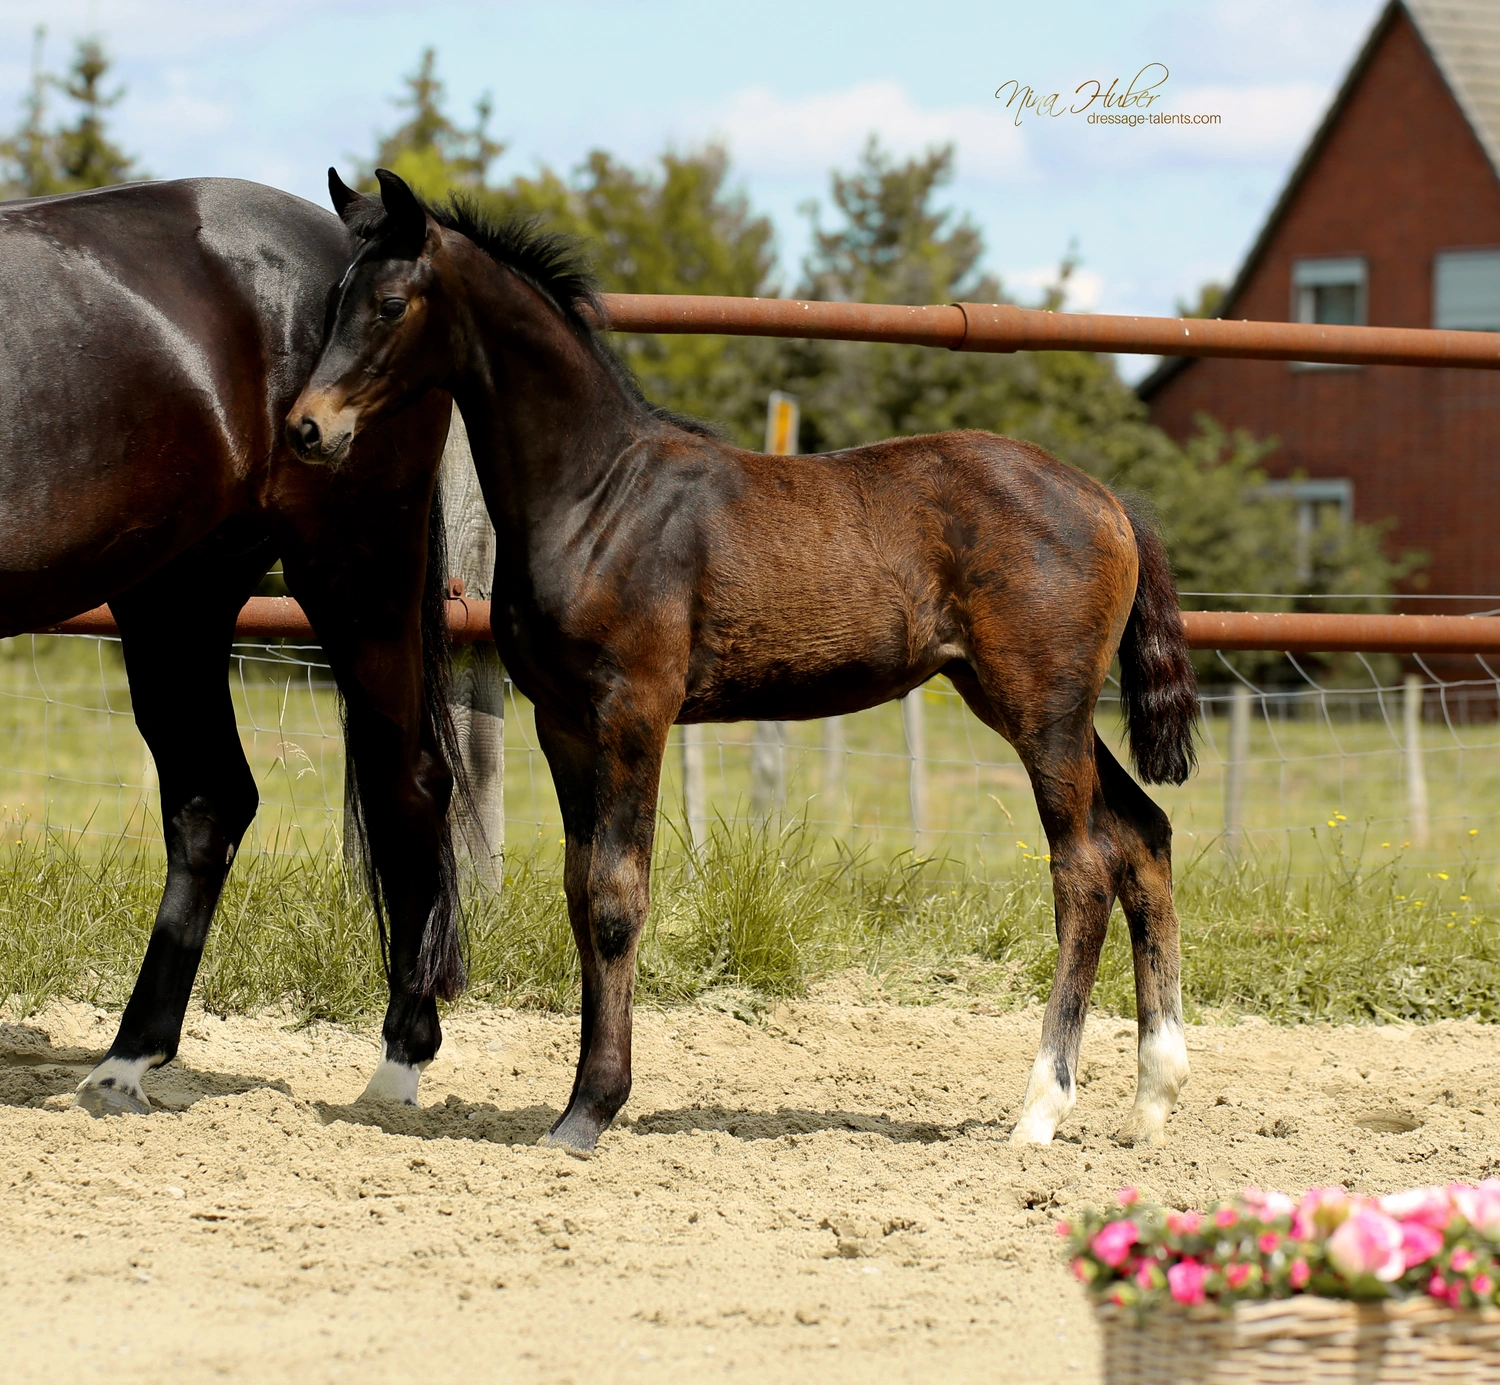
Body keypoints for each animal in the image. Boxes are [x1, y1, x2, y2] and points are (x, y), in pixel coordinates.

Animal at [0, 178, 464, 1114]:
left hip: (355, 569)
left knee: (409, 781)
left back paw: (399, 1059)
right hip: (176, 595)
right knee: (212, 799)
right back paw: (128, 1058)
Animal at [288, 168, 1201, 1154]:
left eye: (389, 303)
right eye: (333, 300)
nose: (305, 428)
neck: (597, 495)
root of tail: (1110, 500)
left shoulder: (633, 712)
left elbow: (616, 896)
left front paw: (591, 1108)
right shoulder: (561, 721)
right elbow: (578, 892)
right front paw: (577, 1101)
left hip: (1041, 709)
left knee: (1084, 868)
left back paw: (1040, 1107)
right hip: (1035, 707)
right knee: (1144, 835)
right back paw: (1154, 1096)